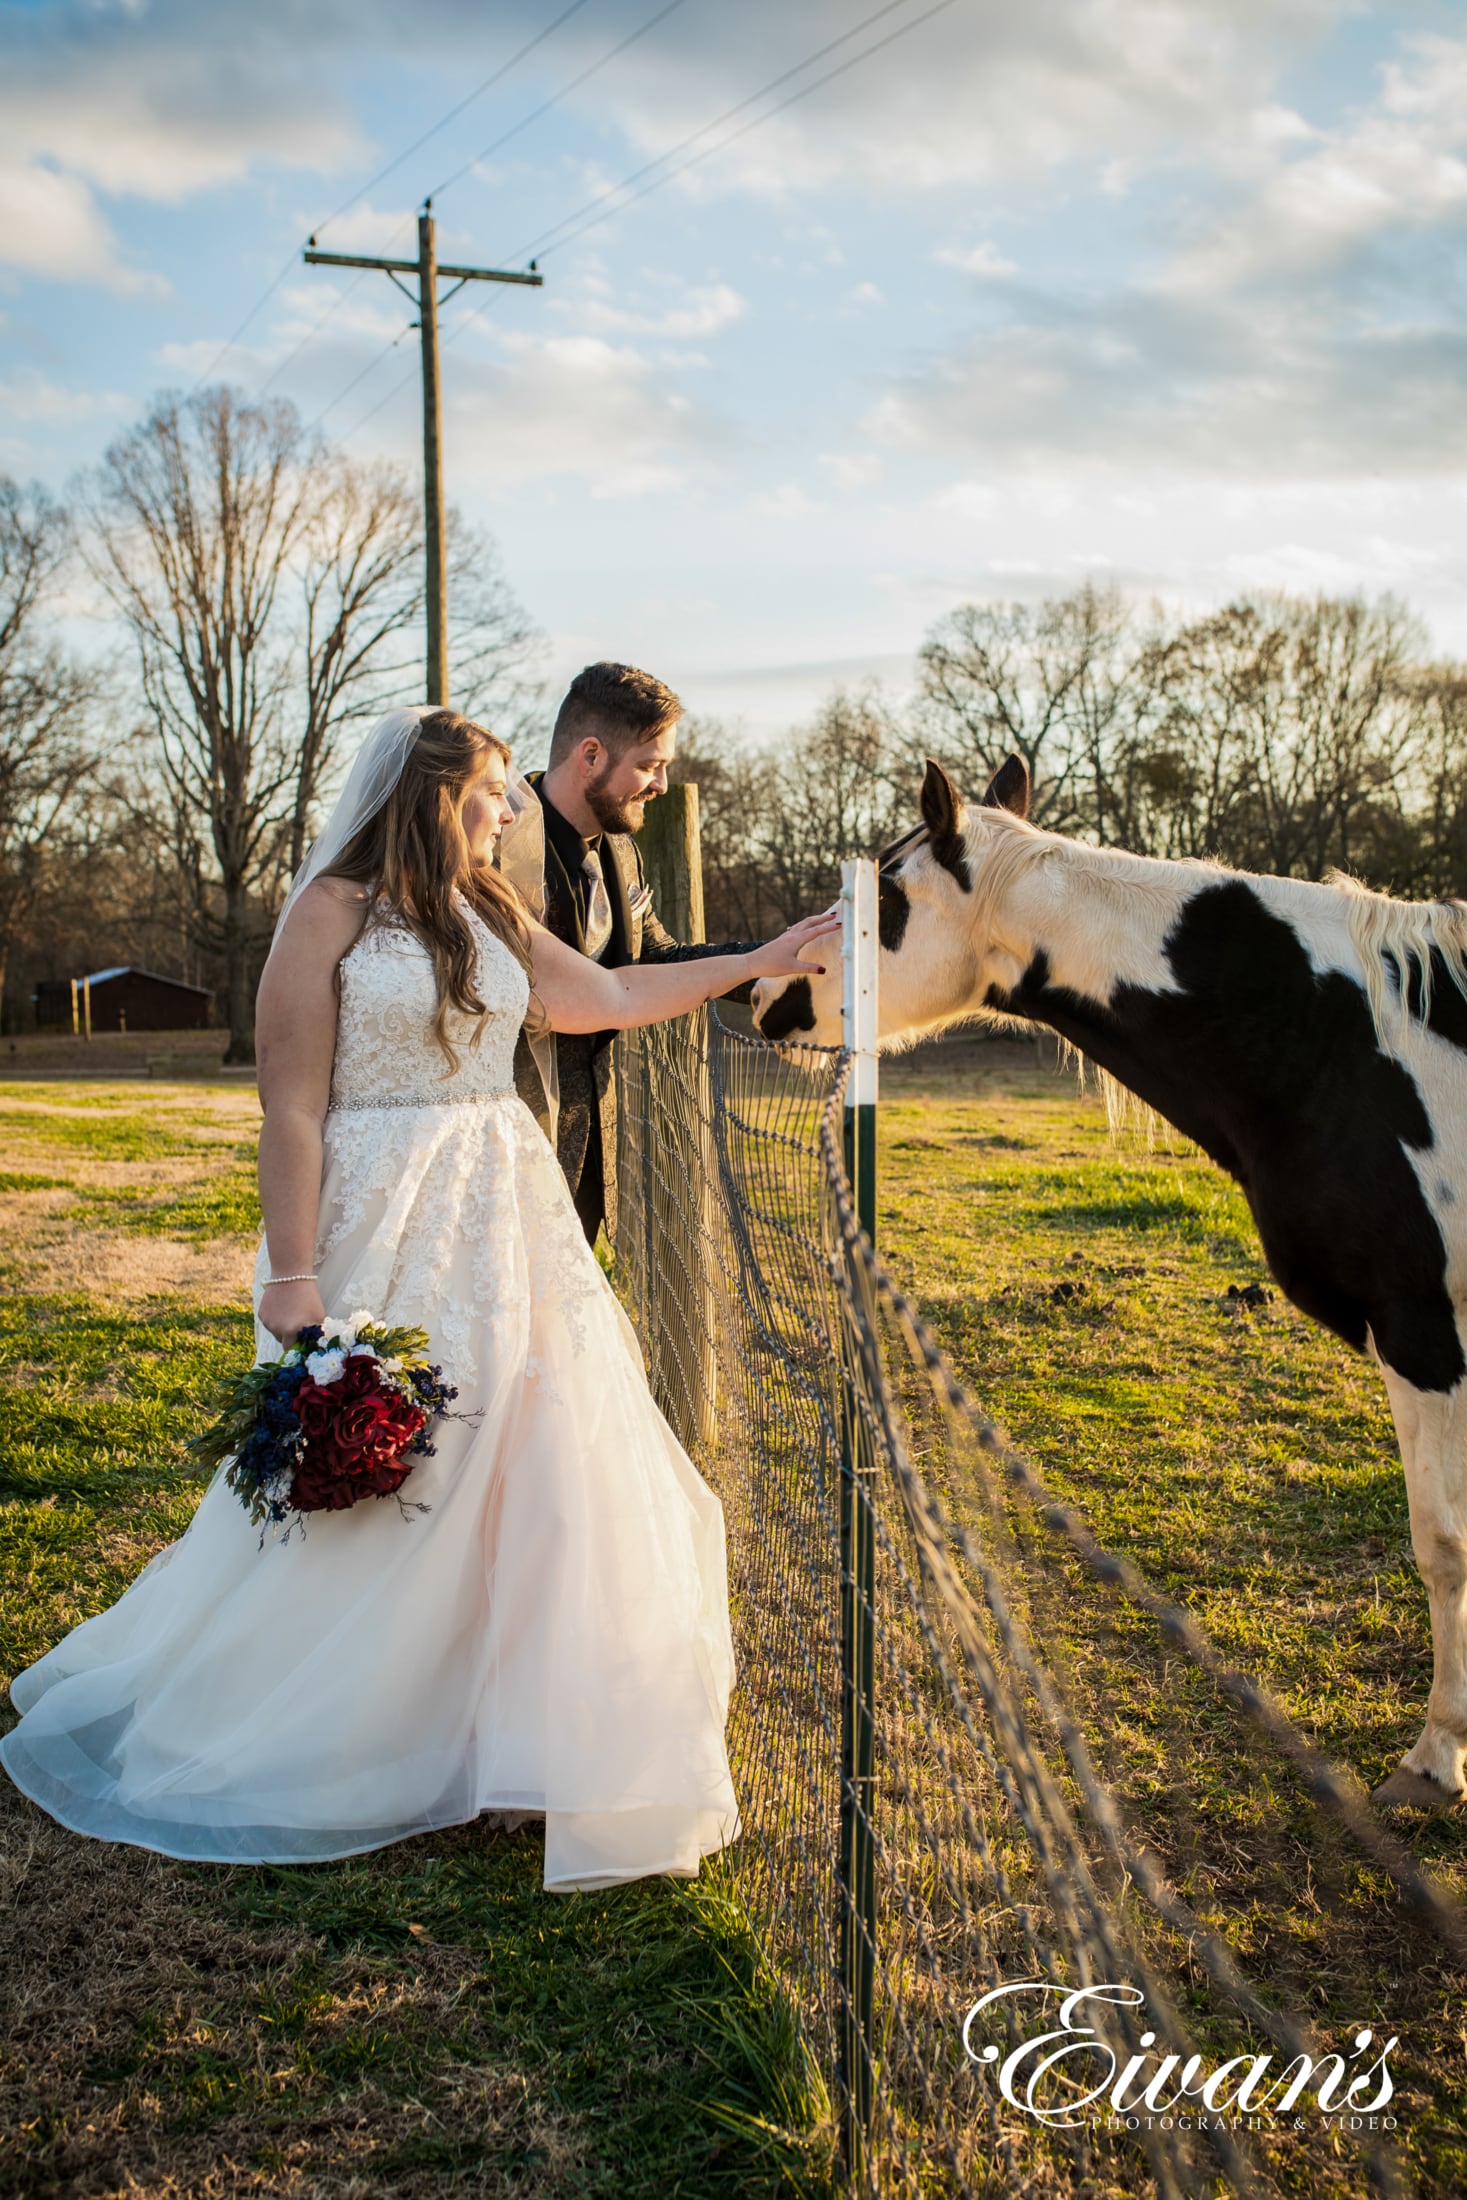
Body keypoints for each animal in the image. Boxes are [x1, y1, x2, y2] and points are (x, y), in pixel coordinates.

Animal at [756, 765, 1467, 1812]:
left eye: (881, 896)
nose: (762, 991)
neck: (1336, 1045)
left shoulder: (1420, 1329)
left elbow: (1441, 1544)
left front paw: (1434, 1759)